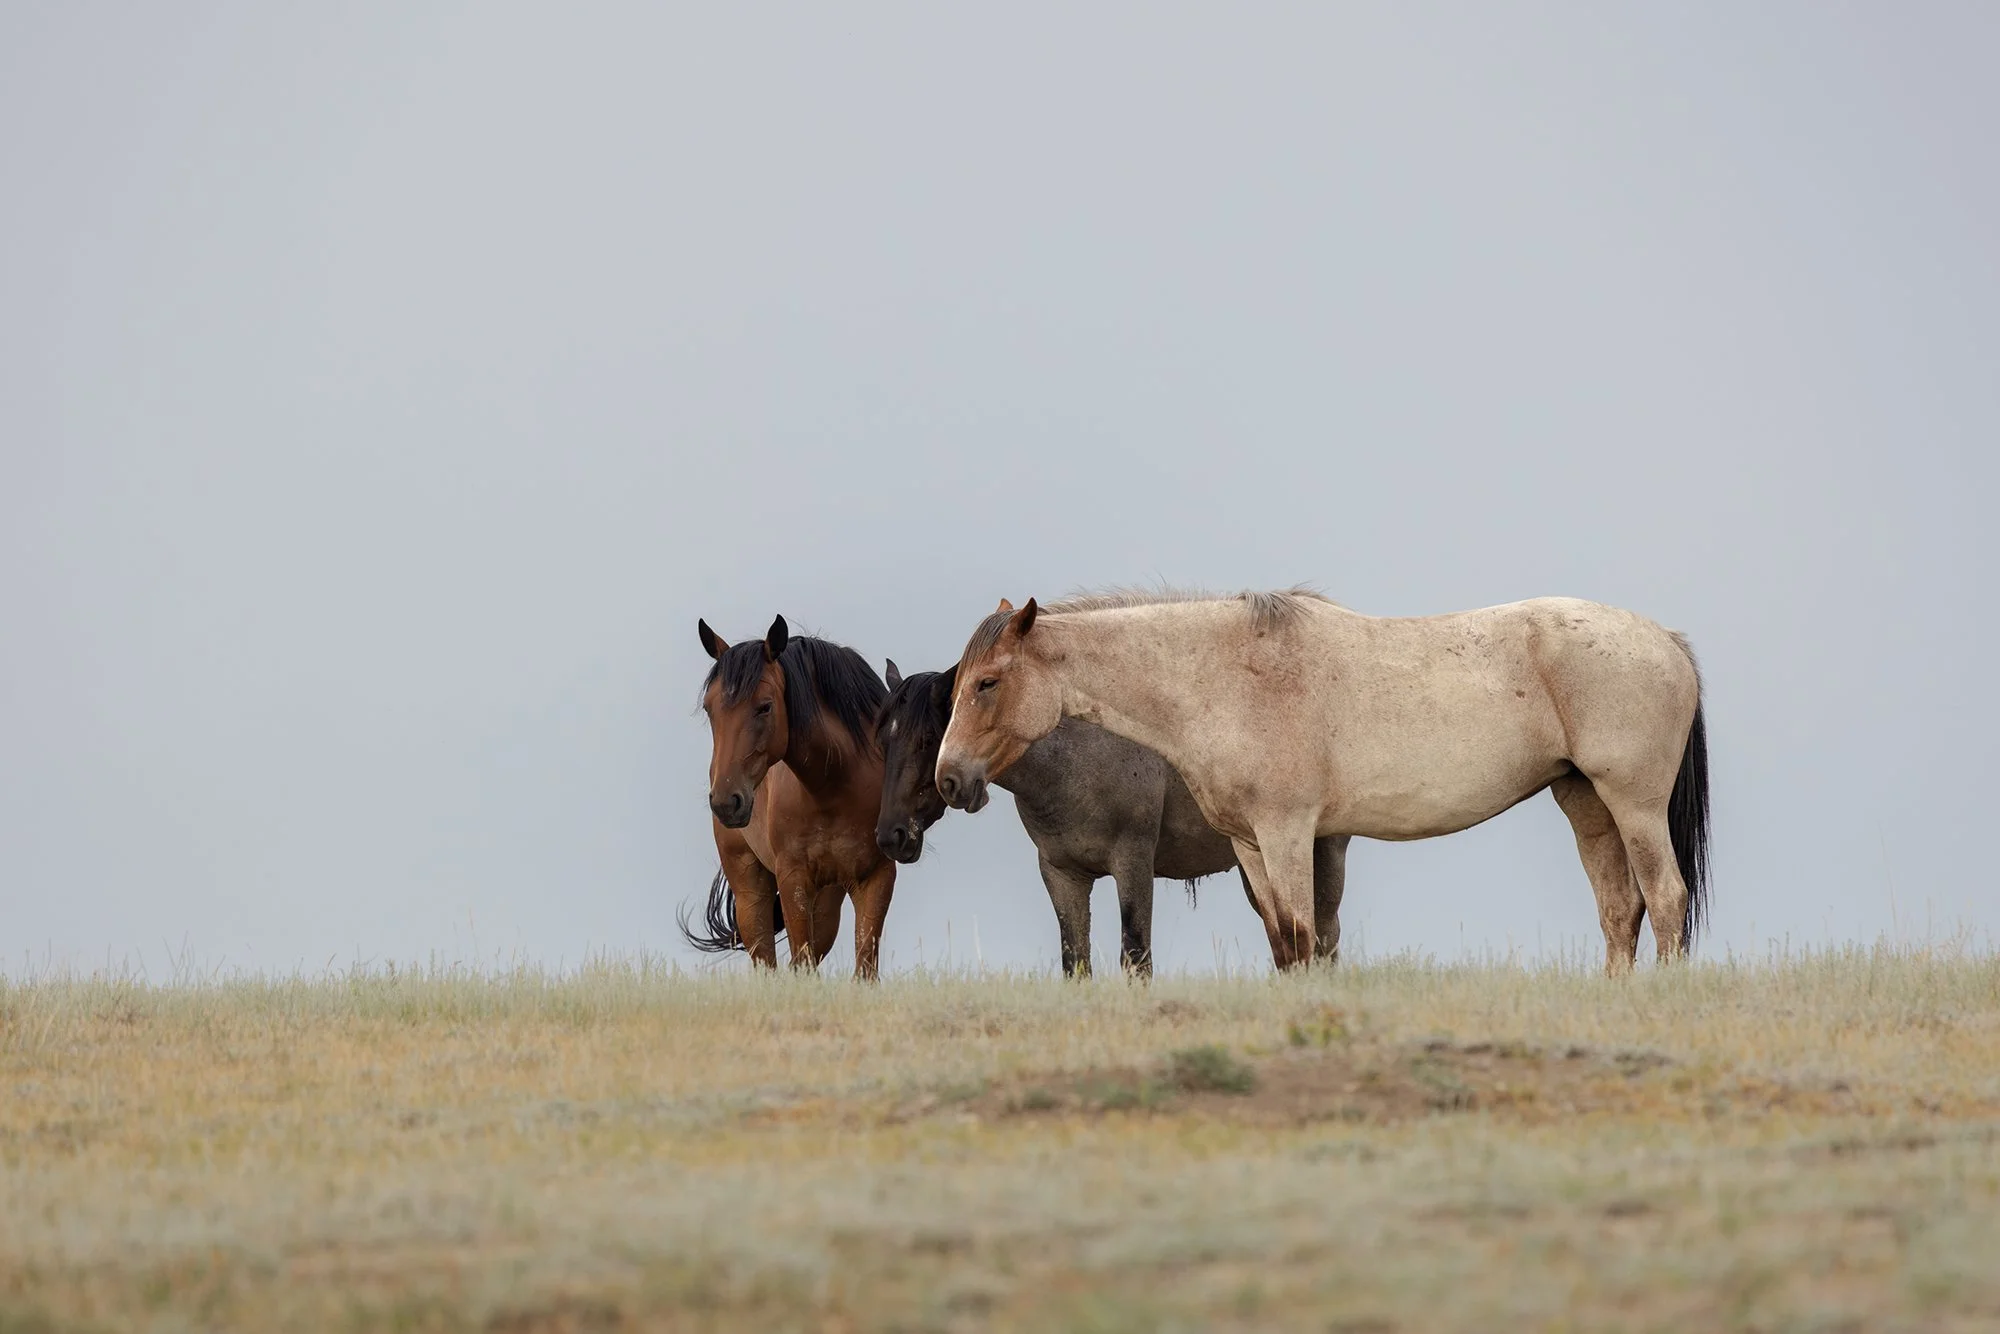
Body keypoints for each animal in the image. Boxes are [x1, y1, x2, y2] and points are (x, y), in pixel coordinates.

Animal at [683, 614, 896, 979]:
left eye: (765, 707)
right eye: (710, 708)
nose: (726, 801)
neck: (835, 787)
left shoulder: (877, 876)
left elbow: (864, 967)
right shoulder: (793, 877)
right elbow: (801, 961)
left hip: (828, 896)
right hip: (750, 886)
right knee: (765, 959)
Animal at [873, 661, 1350, 976]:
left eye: (930, 736)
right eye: (884, 740)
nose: (891, 835)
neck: (1079, 756)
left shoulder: (1133, 862)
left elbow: (1136, 955)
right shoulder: (1061, 873)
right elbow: (1076, 960)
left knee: (1324, 934)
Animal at [935, 588, 1710, 976]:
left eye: (988, 682)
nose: (948, 779)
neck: (1219, 677)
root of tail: (1666, 641)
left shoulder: (1288, 833)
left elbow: (1305, 935)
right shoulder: (1249, 843)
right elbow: (1283, 942)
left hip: (1634, 803)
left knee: (1666, 899)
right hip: (1586, 803)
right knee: (1620, 911)